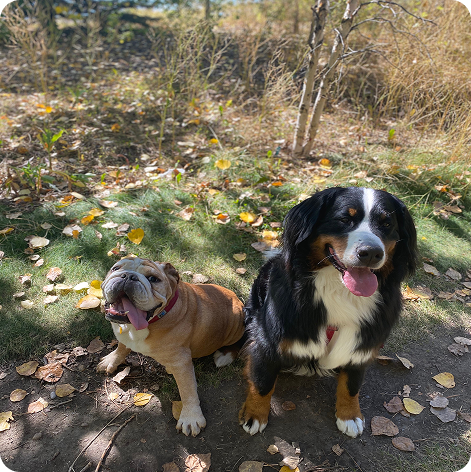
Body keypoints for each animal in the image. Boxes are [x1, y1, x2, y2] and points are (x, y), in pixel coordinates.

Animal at [97, 256, 245, 436]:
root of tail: (238, 299)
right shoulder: (123, 335)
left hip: (236, 323)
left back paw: (225, 355)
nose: (128, 276)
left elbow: (187, 390)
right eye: (116, 268)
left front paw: (190, 417)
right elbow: (121, 347)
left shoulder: (181, 363)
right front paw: (111, 360)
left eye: (153, 279)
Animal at [239, 187, 417, 437]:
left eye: (387, 223)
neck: (341, 292)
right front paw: (254, 415)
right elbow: (263, 382)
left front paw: (350, 416)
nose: (371, 253)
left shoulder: (360, 345)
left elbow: (352, 385)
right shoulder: (267, 340)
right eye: (344, 219)